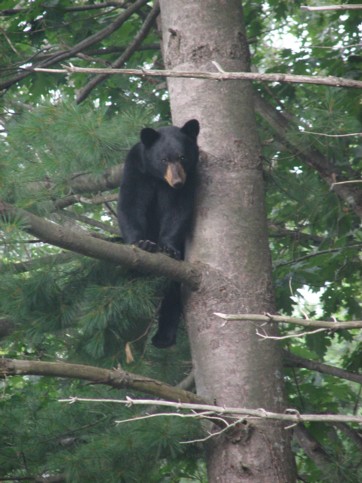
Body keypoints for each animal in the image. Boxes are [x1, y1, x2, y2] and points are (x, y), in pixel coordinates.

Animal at [117, 120, 199, 348]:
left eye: (182, 157)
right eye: (163, 159)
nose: (177, 181)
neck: (159, 179)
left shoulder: (190, 179)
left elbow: (178, 211)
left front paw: (167, 247)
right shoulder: (136, 169)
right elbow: (131, 204)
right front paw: (142, 243)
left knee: (173, 290)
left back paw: (163, 337)